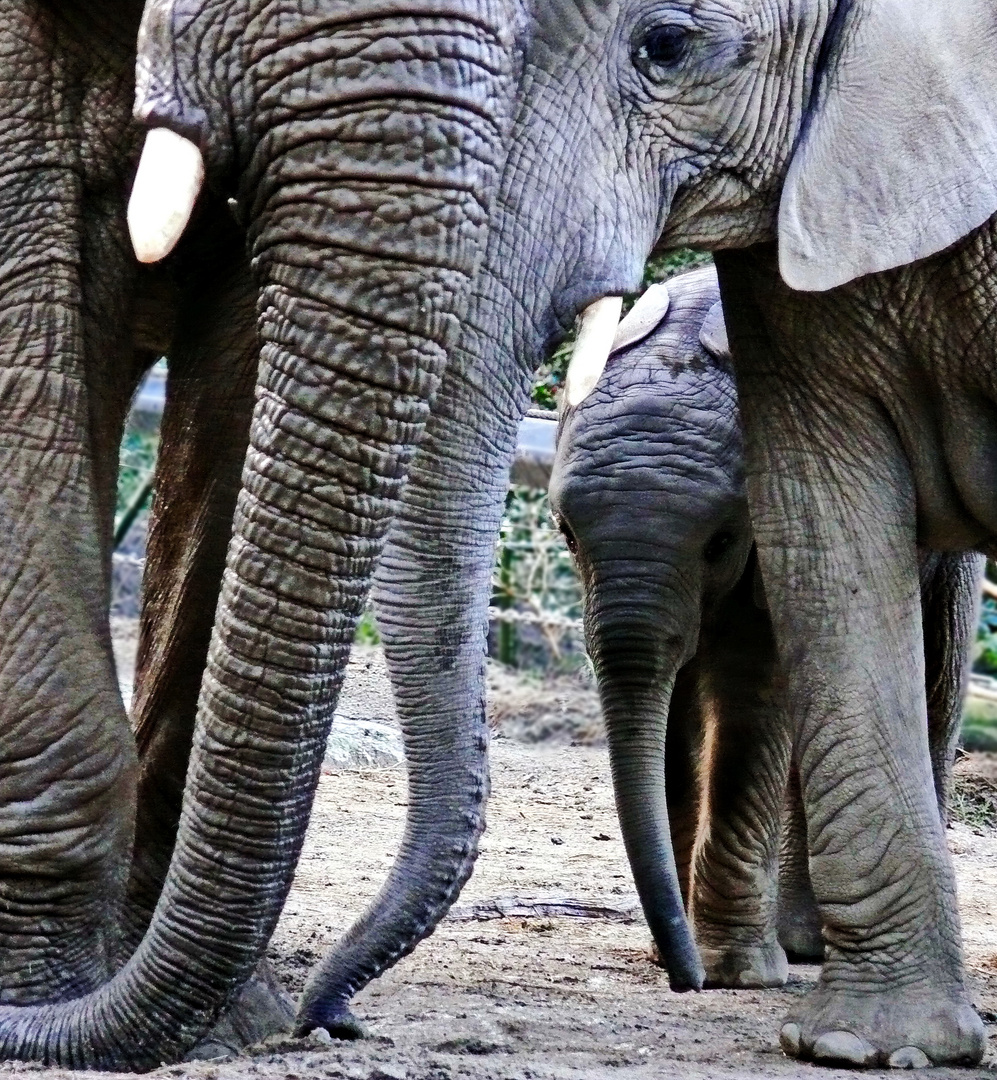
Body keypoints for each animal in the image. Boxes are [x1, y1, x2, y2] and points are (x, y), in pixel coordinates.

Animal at [548, 265, 985, 989]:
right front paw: (687, 953)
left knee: (934, 673)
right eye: (567, 534)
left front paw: (737, 974)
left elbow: (751, 696)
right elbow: (674, 711)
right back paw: (806, 943)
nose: (684, 979)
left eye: (722, 540)